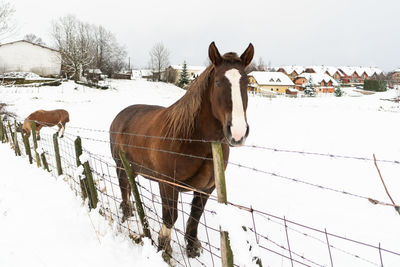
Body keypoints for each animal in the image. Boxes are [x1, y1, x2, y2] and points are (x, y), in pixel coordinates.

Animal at [109, 42, 253, 260]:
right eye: (218, 82)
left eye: (246, 83)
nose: (237, 132)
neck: (192, 140)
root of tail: (120, 115)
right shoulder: (168, 184)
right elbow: (170, 216)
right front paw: (164, 247)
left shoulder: (207, 188)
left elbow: (195, 216)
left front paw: (192, 246)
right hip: (121, 166)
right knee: (124, 189)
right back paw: (126, 215)